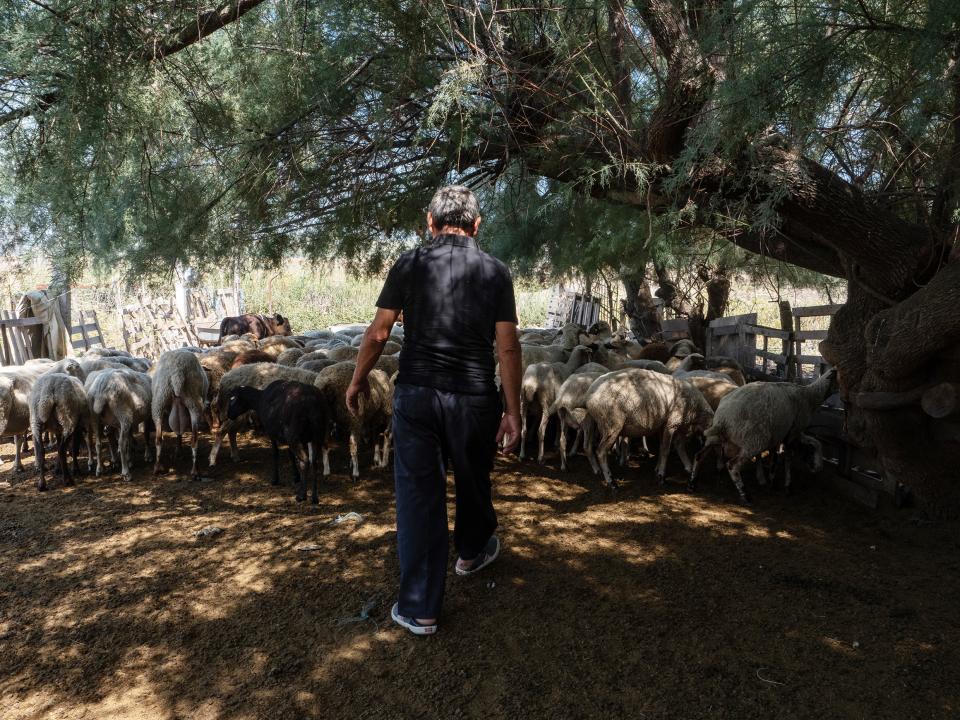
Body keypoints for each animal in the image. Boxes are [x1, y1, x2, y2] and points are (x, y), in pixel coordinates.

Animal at [152, 350, 208, 480]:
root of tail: (176, 371)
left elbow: (178, 431)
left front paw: (178, 451)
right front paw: (179, 452)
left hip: (159, 401)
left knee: (158, 439)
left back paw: (157, 468)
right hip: (194, 402)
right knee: (194, 439)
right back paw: (195, 471)